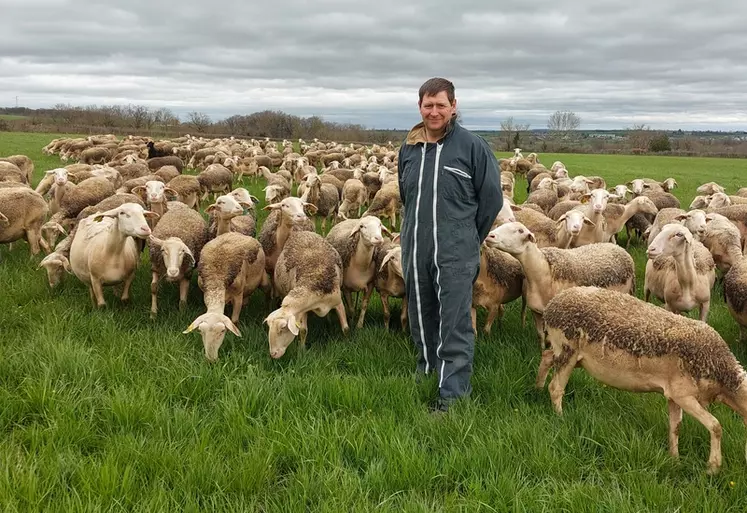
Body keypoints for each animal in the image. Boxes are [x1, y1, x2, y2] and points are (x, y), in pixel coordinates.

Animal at [183, 232, 270, 360]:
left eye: (223, 331)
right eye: (201, 331)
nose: (211, 359)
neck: (216, 279)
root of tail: (236, 233)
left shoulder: (238, 295)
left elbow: (234, 320)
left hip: (263, 280)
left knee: (267, 293)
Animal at [264, 230, 350, 358]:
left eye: (283, 328)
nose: (273, 354)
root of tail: (301, 232)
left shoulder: (338, 303)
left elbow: (345, 328)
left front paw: (347, 343)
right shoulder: (302, 311)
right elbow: (303, 331)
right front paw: (302, 351)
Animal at [486, 220, 636, 344]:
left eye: (520, 231)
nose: (490, 236)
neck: (543, 272)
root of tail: (621, 250)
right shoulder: (536, 312)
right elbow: (541, 336)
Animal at [540, 284, 747, 472]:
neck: (722, 375)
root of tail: (552, 304)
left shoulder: (673, 395)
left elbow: (675, 427)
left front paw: (674, 460)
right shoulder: (684, 395)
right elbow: (716, 426)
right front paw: (713, 467)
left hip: (569, 354)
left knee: (546, 357)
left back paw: (537, 387)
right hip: (567, 350)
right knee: (556, 388)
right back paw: (560, 417)